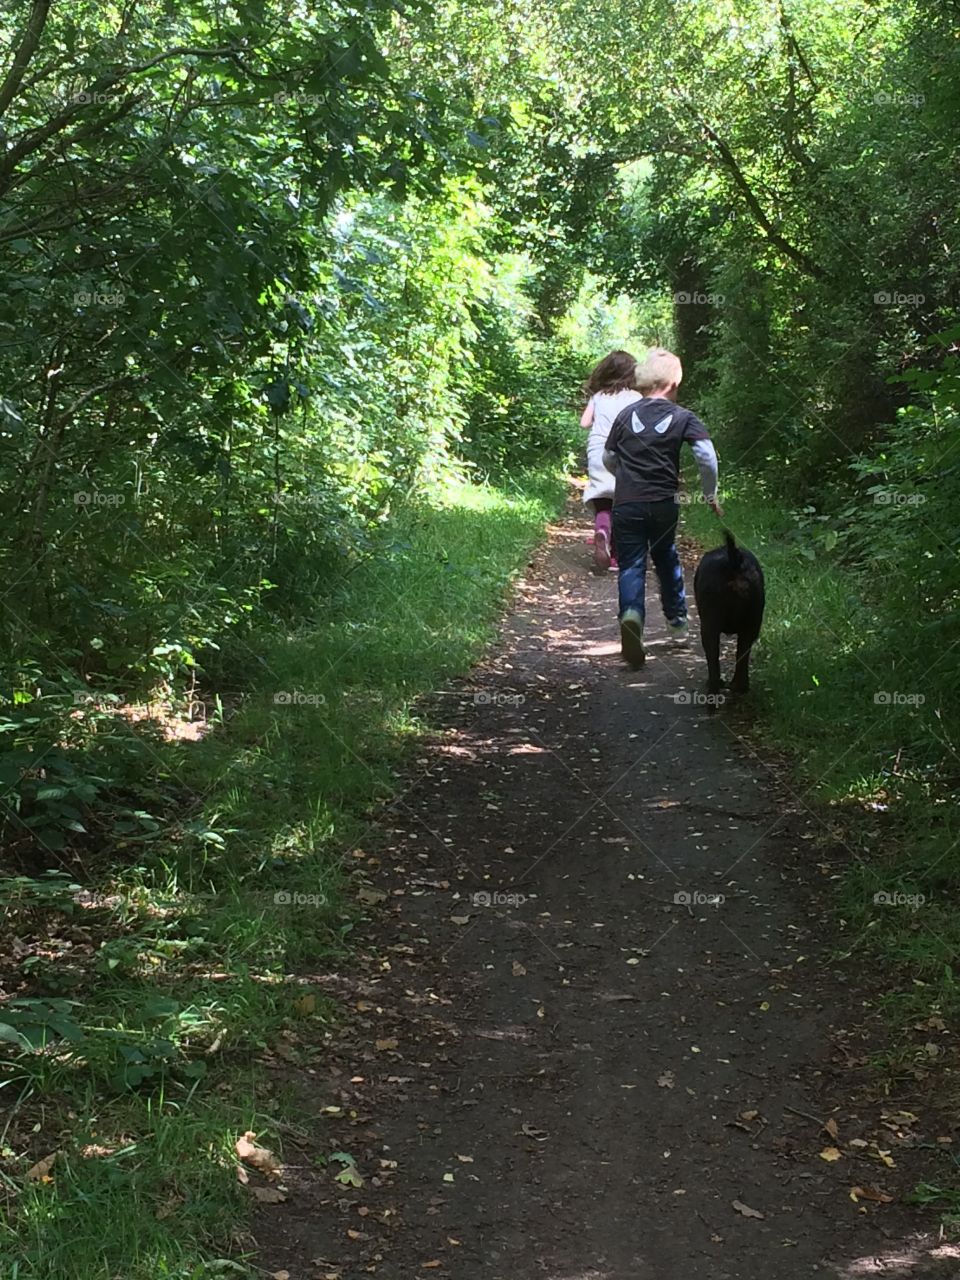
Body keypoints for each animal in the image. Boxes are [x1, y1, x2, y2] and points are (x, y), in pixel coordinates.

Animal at [696, 532, 762, 696]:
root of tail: (733, 564)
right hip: (750, 626)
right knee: (742, 655)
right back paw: (740, 686)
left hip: (709, 626)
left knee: (713, 658)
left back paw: (714, 688)